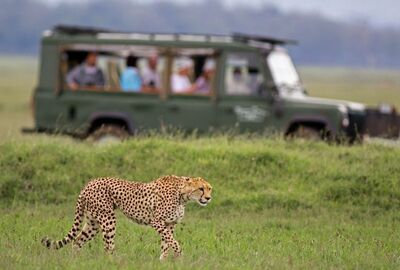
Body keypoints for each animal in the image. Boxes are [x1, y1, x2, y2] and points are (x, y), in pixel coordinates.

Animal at [41, 175, 212, 260]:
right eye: (201, 189)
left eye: (210, 189)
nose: (209, 198)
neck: (182, 195)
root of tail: (88, 184)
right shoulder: (157, 221)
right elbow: (173, 242)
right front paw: (180, 255)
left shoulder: (169, 224)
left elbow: (167, 243)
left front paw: (164, 261)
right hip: (108, 219)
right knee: (107, 246)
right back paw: (114, 262)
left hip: (93, 223)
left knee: (77, 241)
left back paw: (76, 261)